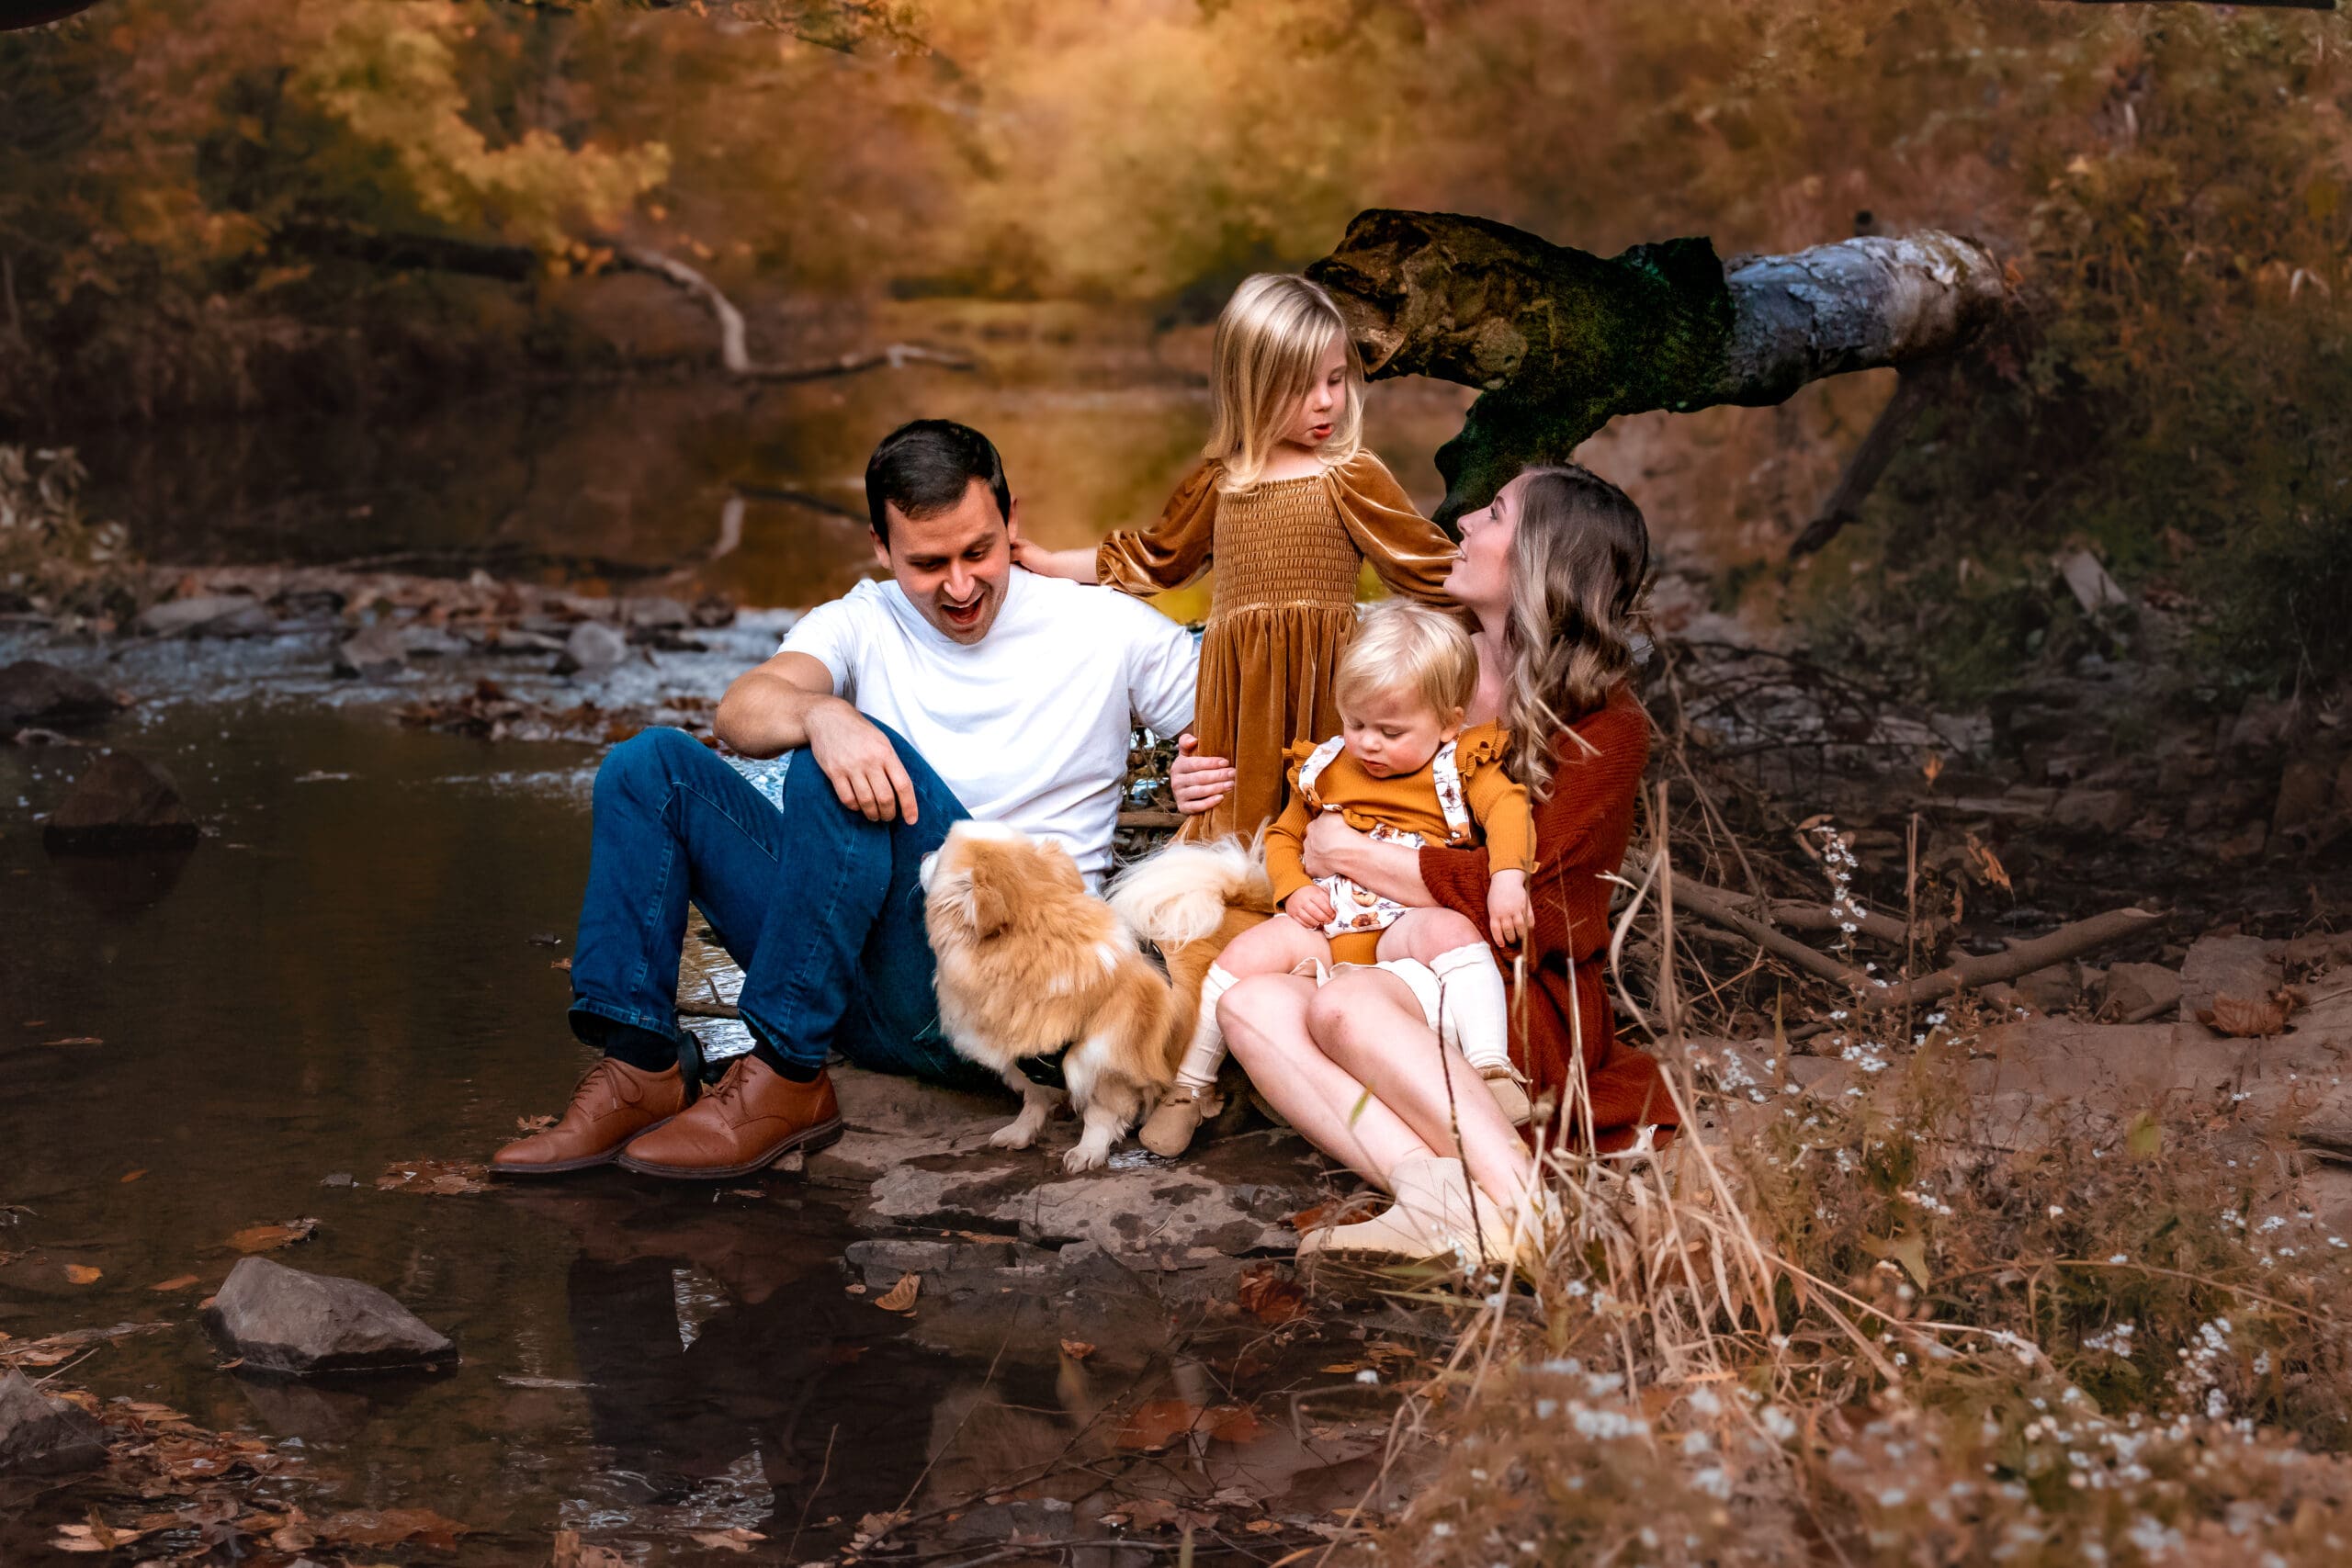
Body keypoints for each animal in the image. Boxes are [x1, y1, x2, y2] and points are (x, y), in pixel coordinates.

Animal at [922, 827, 1270, 1170]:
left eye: (940, 854)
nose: (924, 853)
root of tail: (1243, 902)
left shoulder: (1108, 1066)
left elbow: (1099, 1116)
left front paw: (1087, 1152)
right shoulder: (1029, 1059)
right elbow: (1034, 1101)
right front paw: (1020, 1133)